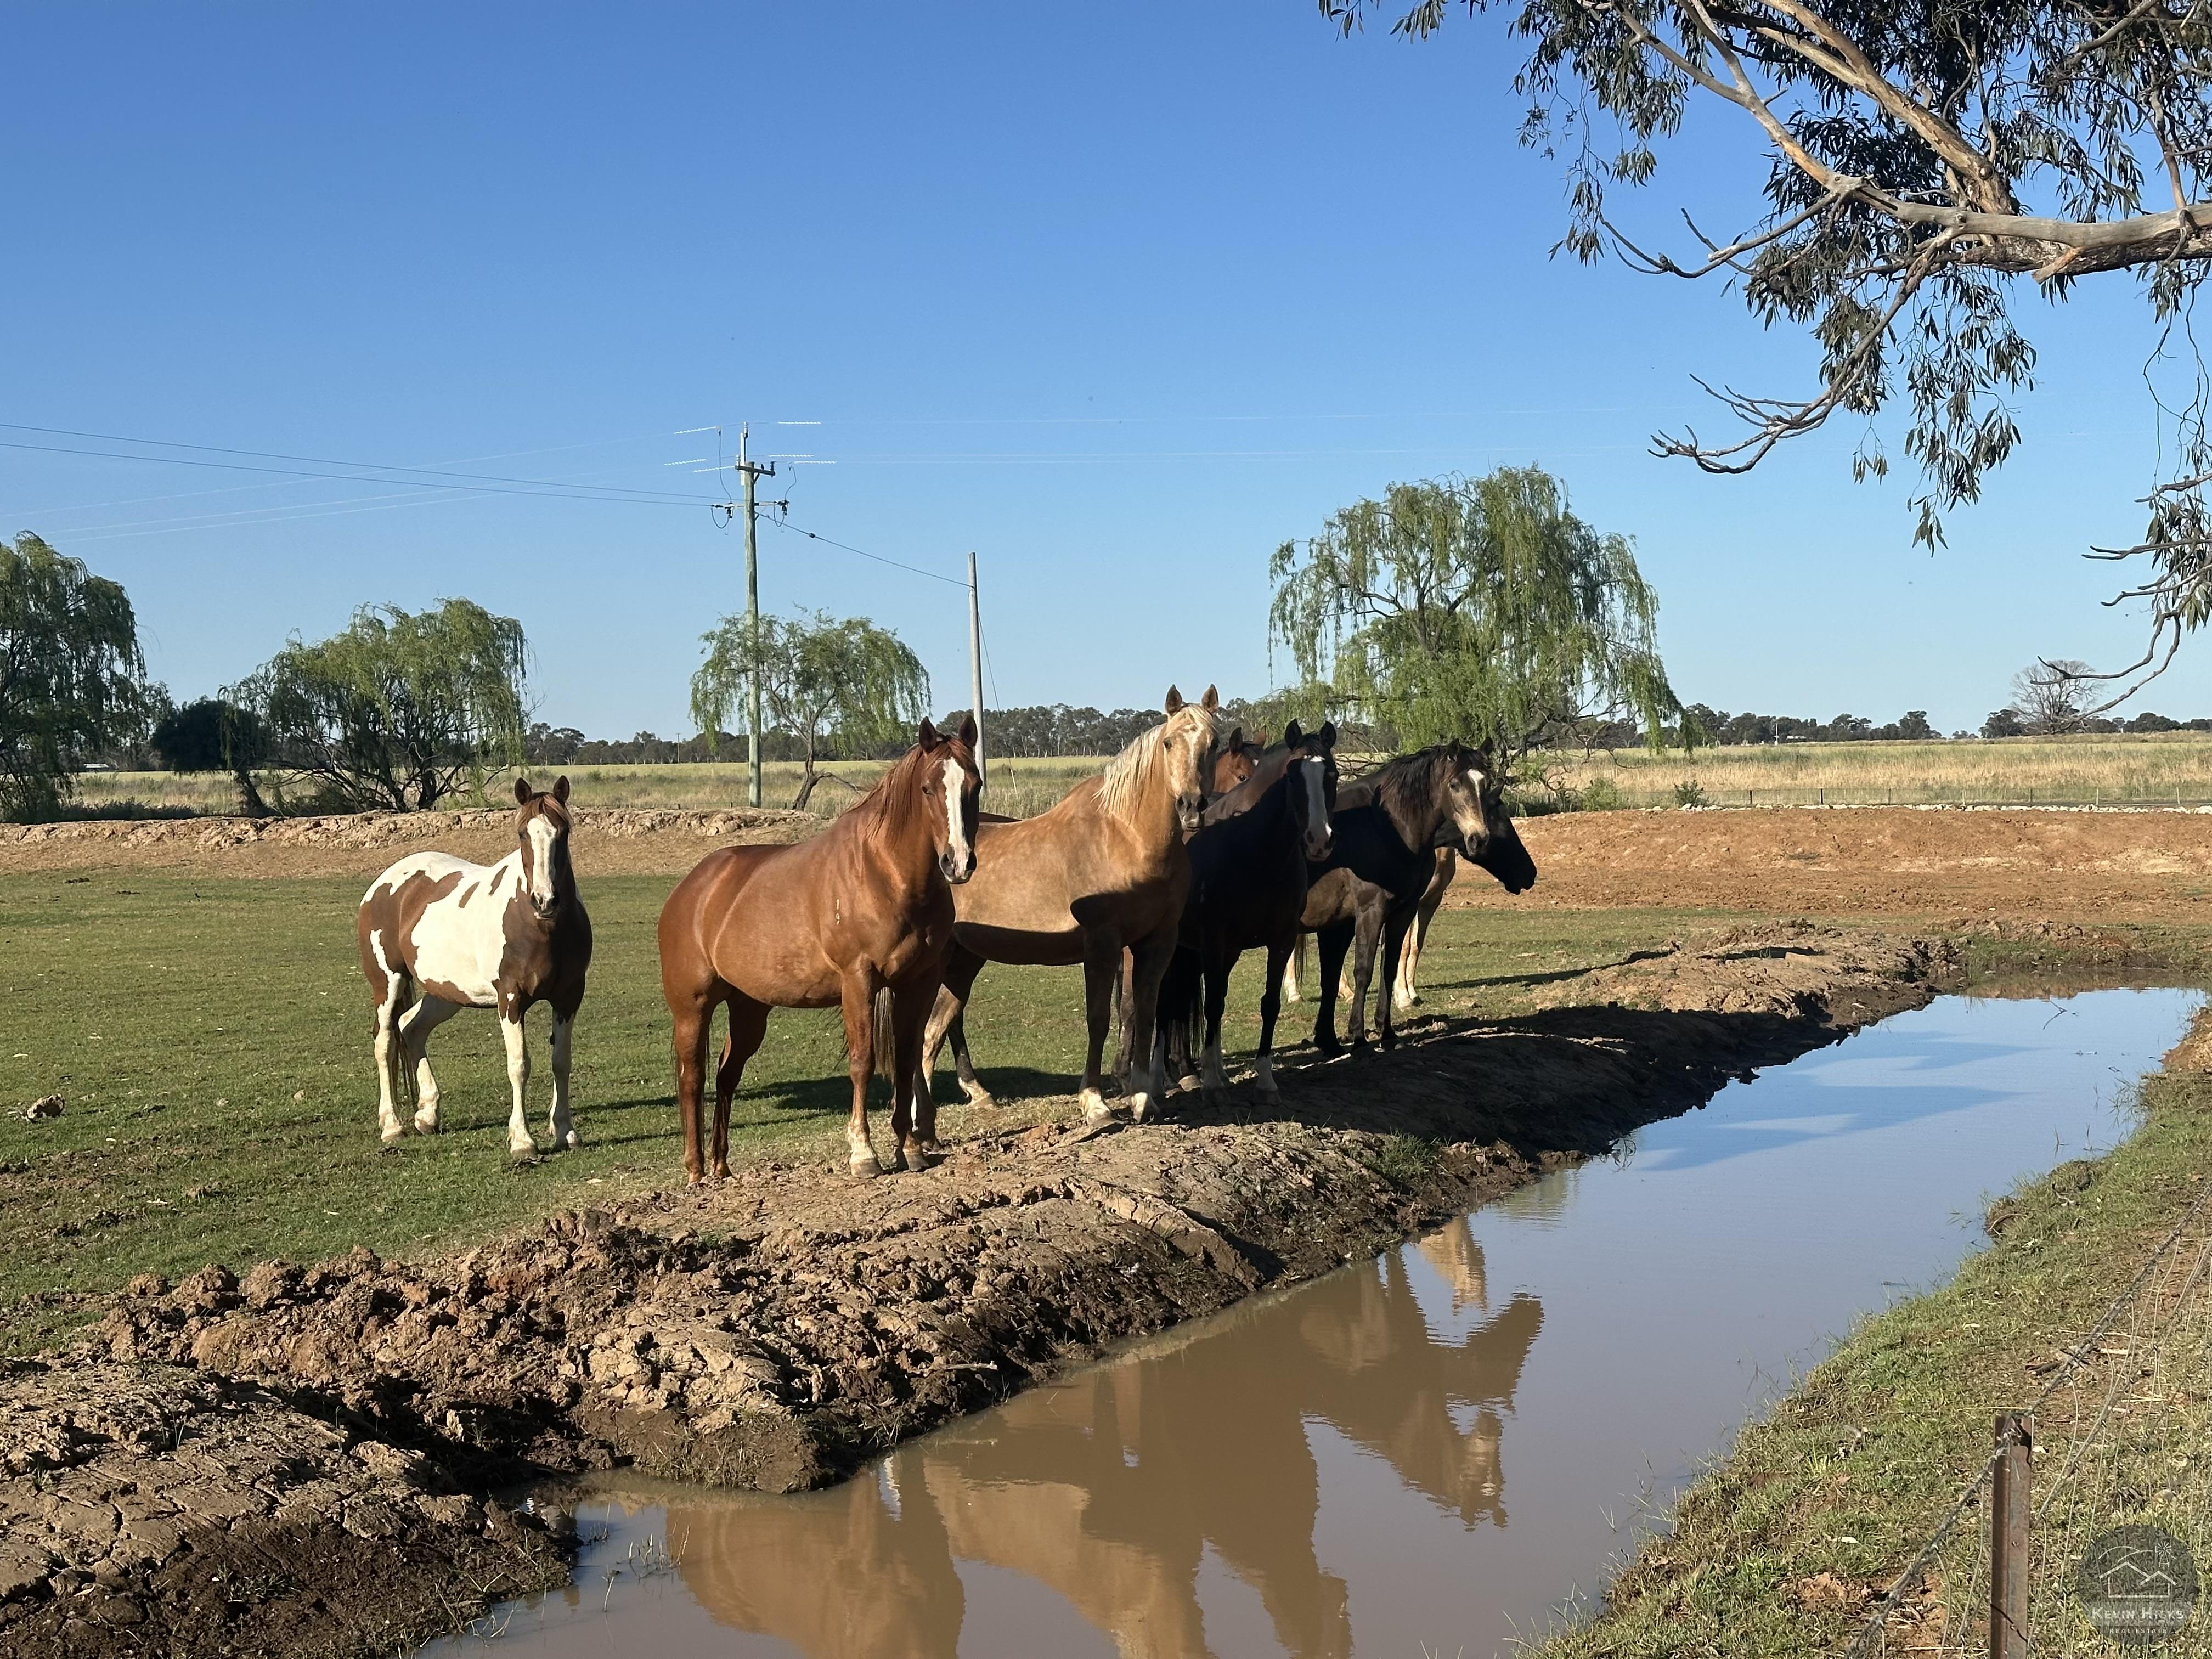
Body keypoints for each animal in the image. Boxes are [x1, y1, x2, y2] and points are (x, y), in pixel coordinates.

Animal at [357, 776, 592, 1157]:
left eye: (564, 831)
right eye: (523, 834)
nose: (545, 900)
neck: (540, 927)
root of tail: (384, 884)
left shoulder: (569, 997)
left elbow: (561, 1061)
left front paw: (565, 1131)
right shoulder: (511, 999)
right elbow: (519, 1065)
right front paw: (522, 1141)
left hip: (446, 993)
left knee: (413, 1029)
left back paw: (427, 1116)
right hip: (388, 984)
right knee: (386, 1041)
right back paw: (392, 1126)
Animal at [658, 716, 981, 1183]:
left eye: (974, 784)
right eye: (927, 788)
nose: (958, 863)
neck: (886, 874)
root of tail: (691, 889)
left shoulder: (918, 983)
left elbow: (905, 1060)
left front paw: (910, 1149)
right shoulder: (859, 982)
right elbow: (863, 1061)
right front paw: (863, 1153)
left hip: (749, 1010)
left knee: (725, 1076)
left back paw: (721, 1165)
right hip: (692, 1009)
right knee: (692, 1079)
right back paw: (696, 1169)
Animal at [917, 686, 1228, 1127]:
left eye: (1214, 743)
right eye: (1169, 743)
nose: (1191, 807)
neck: (1127, 838)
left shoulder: (1154, 944)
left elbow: (1141, 1014)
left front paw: (1142, 1098)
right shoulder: (1101, 943)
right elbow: (1098, 1019)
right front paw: (1095, 1103)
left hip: (965, 959)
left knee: (938, 1026)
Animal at [1156, 721, 1338, 1098]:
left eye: (1334, 774)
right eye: (1292, 778)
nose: (1319, 840)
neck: (1255, 850)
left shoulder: (1280, 940)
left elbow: (1268, 1004)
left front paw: (1265, 1079)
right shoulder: (1213, 939)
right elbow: (1213, 1004)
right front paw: (1212, 1084)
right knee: (1159, 1003)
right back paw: (1154, 1077)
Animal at [1304, 745, 1535, 1056]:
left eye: (1486, 786)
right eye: (1454, 785)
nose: (1530, 873)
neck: (1386, 827)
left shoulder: (1400, 910)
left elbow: (1386, 967)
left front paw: (1385, 1033)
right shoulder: (1369, 911)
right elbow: (1362, 970)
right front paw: (1359, 1037)